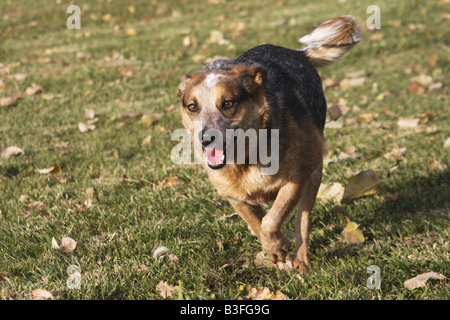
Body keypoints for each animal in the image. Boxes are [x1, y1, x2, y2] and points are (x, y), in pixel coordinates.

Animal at [178, 16, 360, 272]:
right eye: (192, 106)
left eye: (228, 103)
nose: (205, 139)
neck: (246, 159)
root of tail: (299, 53)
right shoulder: (233, 196)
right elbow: (256, 223)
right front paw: (277, 255)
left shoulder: (297, 178)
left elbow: (271, 219)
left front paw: (278, 249)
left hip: (314, 173)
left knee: (302, 221)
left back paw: (301, 261)